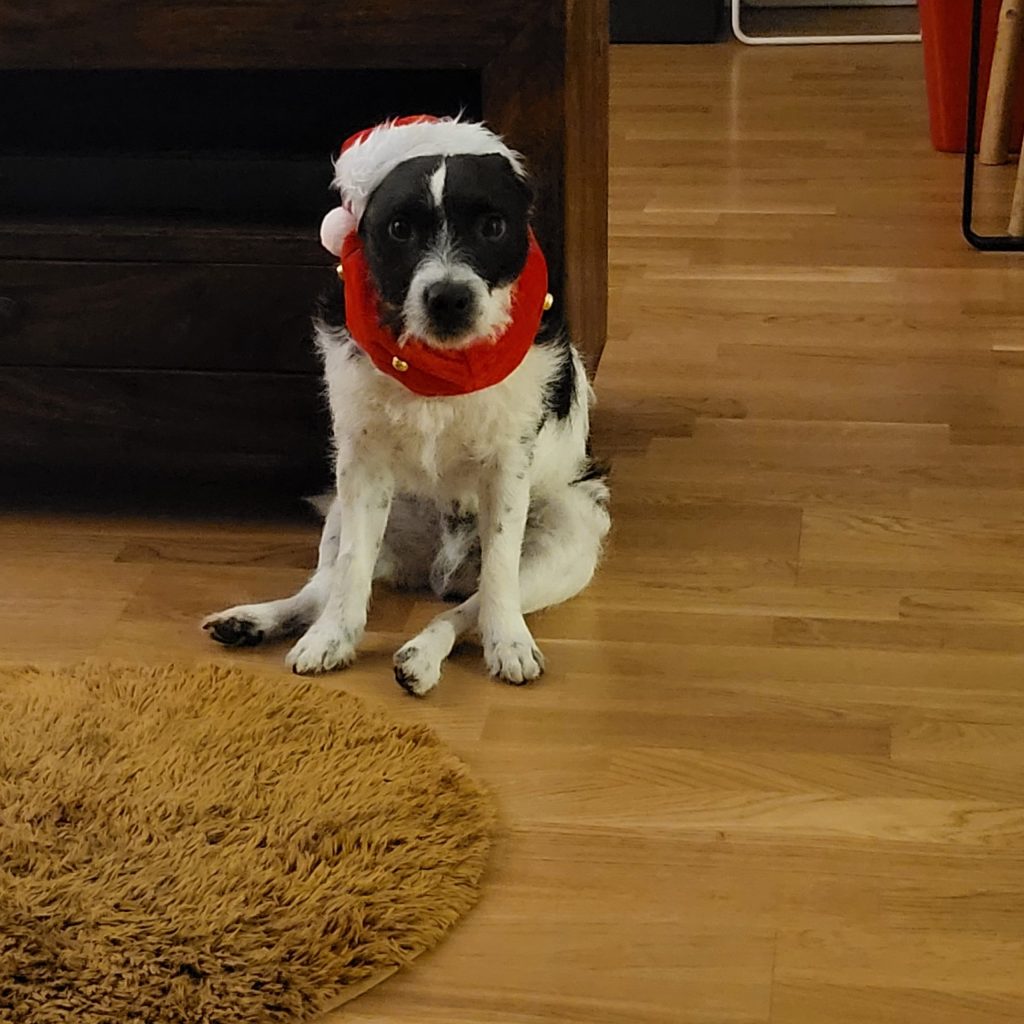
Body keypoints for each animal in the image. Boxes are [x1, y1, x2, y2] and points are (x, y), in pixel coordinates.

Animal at [202, 118, 609, 695]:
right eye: (399, 229)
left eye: (492, 226)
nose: (448, 299)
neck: (439, 368)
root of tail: (437, 571)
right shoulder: (362, 467)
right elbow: (350, 572)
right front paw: (331, 640)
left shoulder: (508, 469)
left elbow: (499, 572)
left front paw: (509, 643)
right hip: (348, 511)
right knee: (321, 587)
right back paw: (256, 621)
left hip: (567, 538)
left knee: (467, 606)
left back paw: (423, 654)